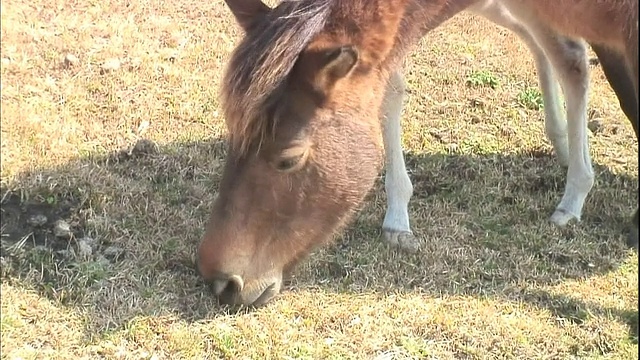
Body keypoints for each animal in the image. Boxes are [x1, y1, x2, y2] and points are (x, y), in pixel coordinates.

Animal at [198, 0, 636, 306]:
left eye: (288, 158)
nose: (222, 282)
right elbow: (389, 92)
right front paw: (398, 218)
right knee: (554, 50)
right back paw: (564, 150)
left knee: (571, 59)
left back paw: (574, 191)